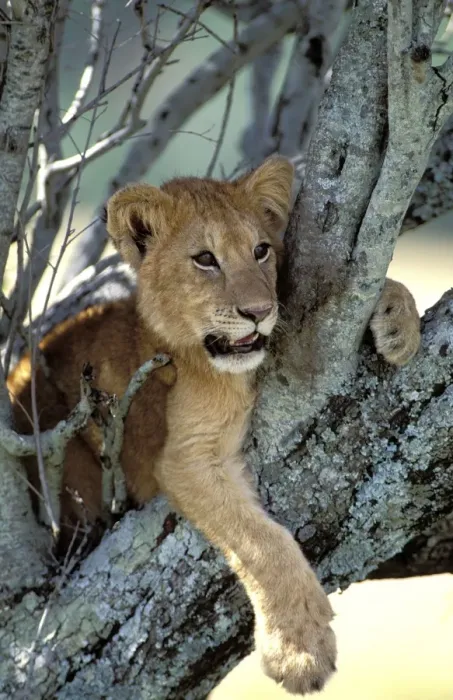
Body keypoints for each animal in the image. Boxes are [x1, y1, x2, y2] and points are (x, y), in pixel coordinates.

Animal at [7, 156, 421, 695]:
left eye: (261, 250)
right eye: (205, 259)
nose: (260, 312)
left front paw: (398, 324)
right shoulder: (184, 457)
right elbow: (263, 542)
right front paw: (300, 650)